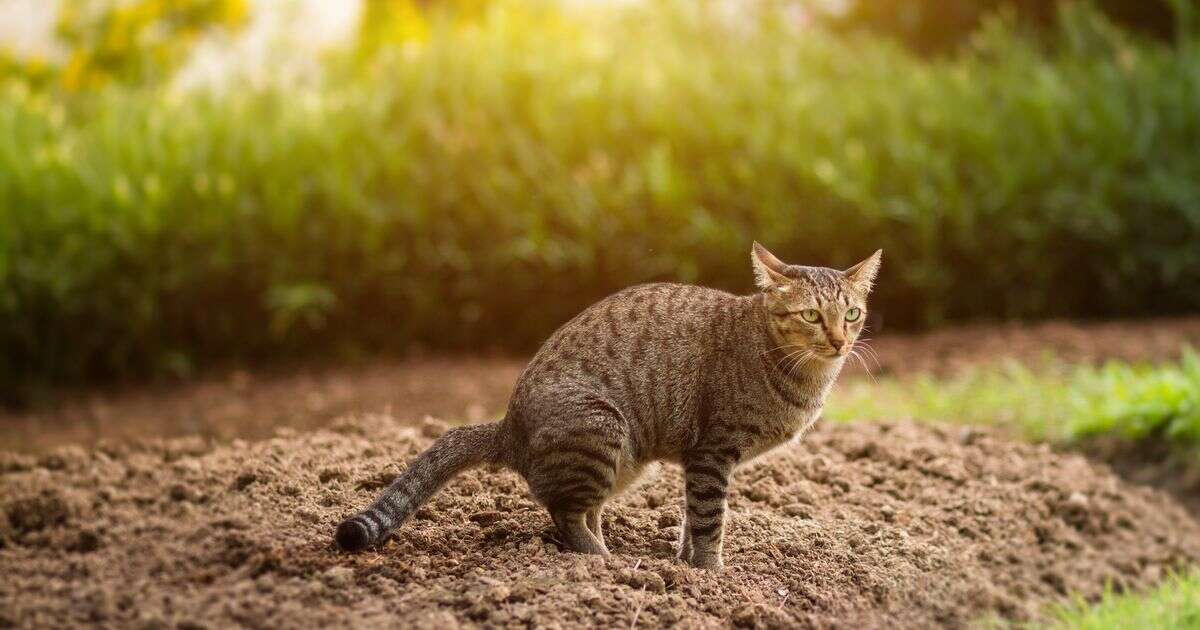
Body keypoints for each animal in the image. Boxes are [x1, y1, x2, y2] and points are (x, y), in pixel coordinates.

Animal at [338, 243, 883, 566]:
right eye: (811, 315)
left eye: (853, 314)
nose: (839, 341)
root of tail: (508, 426)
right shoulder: (712, 453)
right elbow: (710, 519)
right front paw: (710, 573)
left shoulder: (698, 462)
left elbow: (691, 519)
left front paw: (684, 562)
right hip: (601, 429)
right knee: (564, 512)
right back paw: (601, 561)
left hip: (625, 460)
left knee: (583, 508)